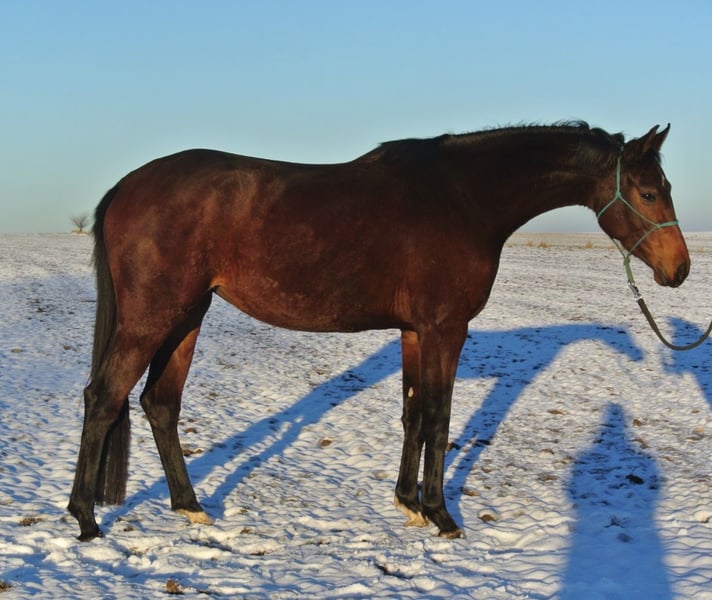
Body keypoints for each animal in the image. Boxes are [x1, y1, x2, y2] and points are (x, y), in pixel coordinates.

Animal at [68, 122, 690, 541]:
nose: (679, 269)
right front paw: (441, 514)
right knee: (104, 397)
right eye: (648, 192)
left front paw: (407, 503)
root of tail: (127, 187)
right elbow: (439, 416)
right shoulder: (445, 329)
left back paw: (189, 506)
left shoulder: (414, 332)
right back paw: (87, 520)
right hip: (153, 317)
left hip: (187, 316)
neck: (465, 197)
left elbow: (413, 413)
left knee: (159, 402)